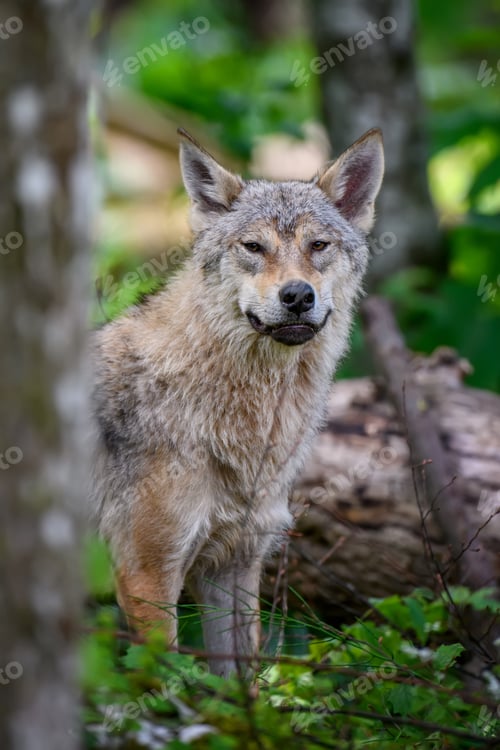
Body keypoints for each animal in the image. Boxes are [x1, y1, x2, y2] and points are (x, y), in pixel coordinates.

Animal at [91, 127, 384, 677]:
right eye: (254, 247)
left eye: (318, 245)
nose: (297, 295)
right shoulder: (146, 574)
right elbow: (169, 681)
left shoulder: (235, 562)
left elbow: (239, 681)